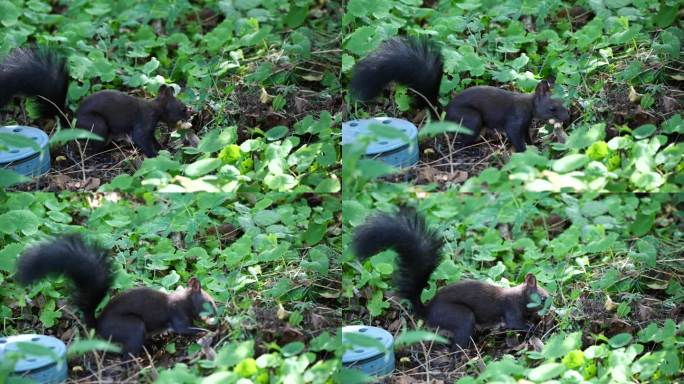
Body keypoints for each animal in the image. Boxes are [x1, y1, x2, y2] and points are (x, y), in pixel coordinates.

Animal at [0, 47, 192, 158]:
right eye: (182, 108)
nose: (190, 115)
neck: (155, 107)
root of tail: (73, 122)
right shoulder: (145, 121)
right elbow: (141, 139)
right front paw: (155, 155)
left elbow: (152, 138)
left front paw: (162, 148)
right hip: (97, 125)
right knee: (92, 148)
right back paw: (101, 155)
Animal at [16, 234, 216, 356]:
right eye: (209, 302)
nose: (216, 313)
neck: (184, 301)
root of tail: (98, 327)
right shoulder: (177, 315)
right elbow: (184, 329)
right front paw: (207, 331)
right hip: (132, 327)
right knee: (125, 353)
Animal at [350, 37, 568, 152]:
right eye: (552, 107)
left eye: (563, 103)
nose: (567, 116)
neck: (529, 106)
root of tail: (445, 113)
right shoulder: (515, 120)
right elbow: (515, 135)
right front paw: (523, 152)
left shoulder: (525, 124)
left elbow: (526, 135)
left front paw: (533, 146)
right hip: (472, 118)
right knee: (462, 141)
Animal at [352, 208, 552, 352]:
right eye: (543, 298)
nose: (551, 306)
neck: (520, 296)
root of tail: (428, 312)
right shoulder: (510, 308)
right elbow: (515, 324)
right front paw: (532, 328)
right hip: (460, 316)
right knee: (457, 343)